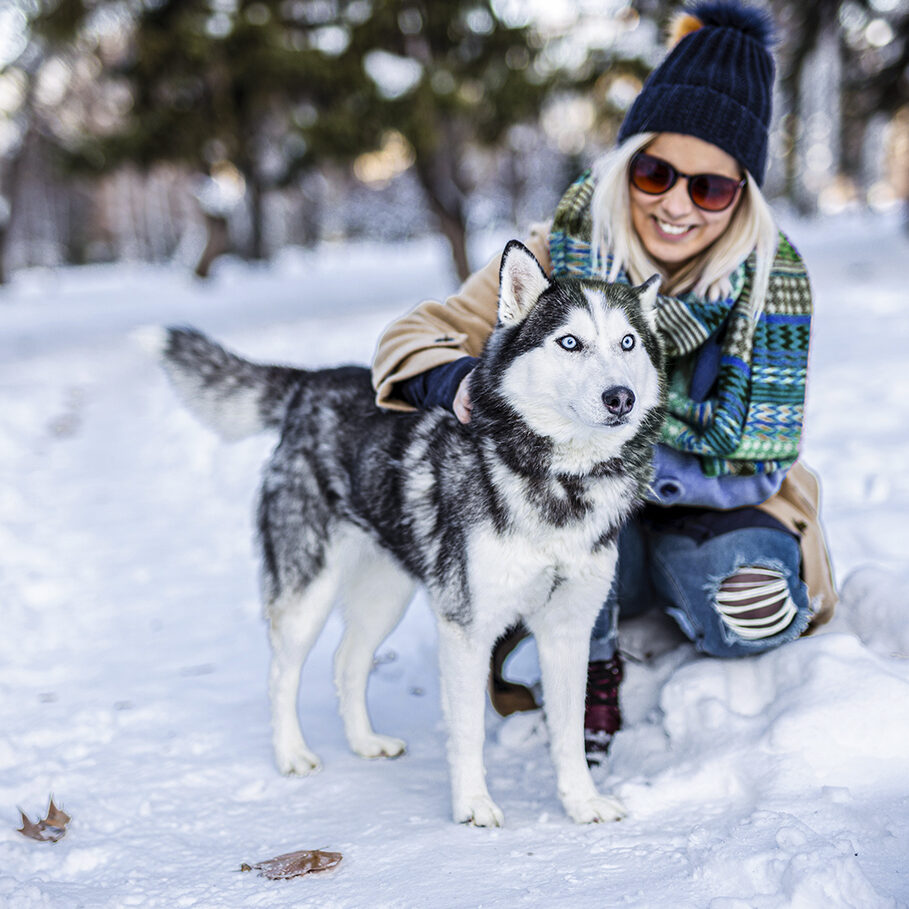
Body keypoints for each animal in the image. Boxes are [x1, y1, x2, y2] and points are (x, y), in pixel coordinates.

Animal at [156, 239, 664, 824]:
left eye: (627, 342)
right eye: (570, 342)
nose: (620, 397)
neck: (561, 481)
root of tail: (311, 383)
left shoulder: (567, 629)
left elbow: (569, 733)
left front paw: (581, 802)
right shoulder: (467, 628)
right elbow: (467, 732)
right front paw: (473, 805)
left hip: (386, 592)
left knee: (348, 661)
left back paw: (364, 742)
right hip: (309, 592)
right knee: (282, 673)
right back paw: (291, 753)